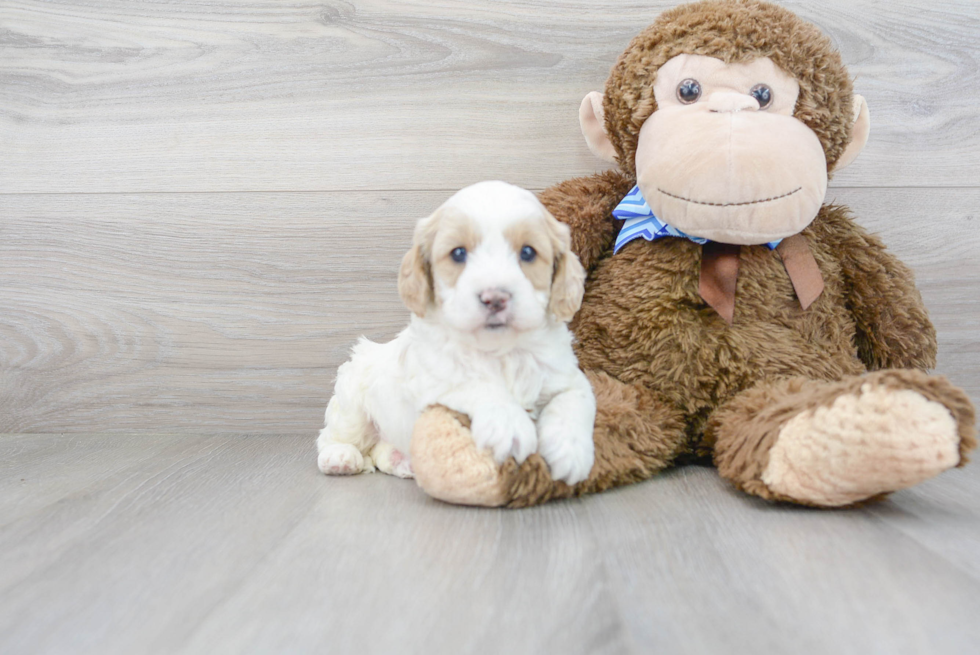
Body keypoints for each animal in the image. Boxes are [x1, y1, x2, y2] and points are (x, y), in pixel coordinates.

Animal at [318, 182, 596, 484]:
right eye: (458, 254)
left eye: (528, 253)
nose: (495, 298)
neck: (500, 349)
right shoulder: (435, 378)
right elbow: (477, 383)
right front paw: (509, 425)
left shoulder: (566, 376)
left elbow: (573, 400)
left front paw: (570, 450)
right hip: (352, 403)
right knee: (333, 436)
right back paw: (340, 457)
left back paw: (401, 460)